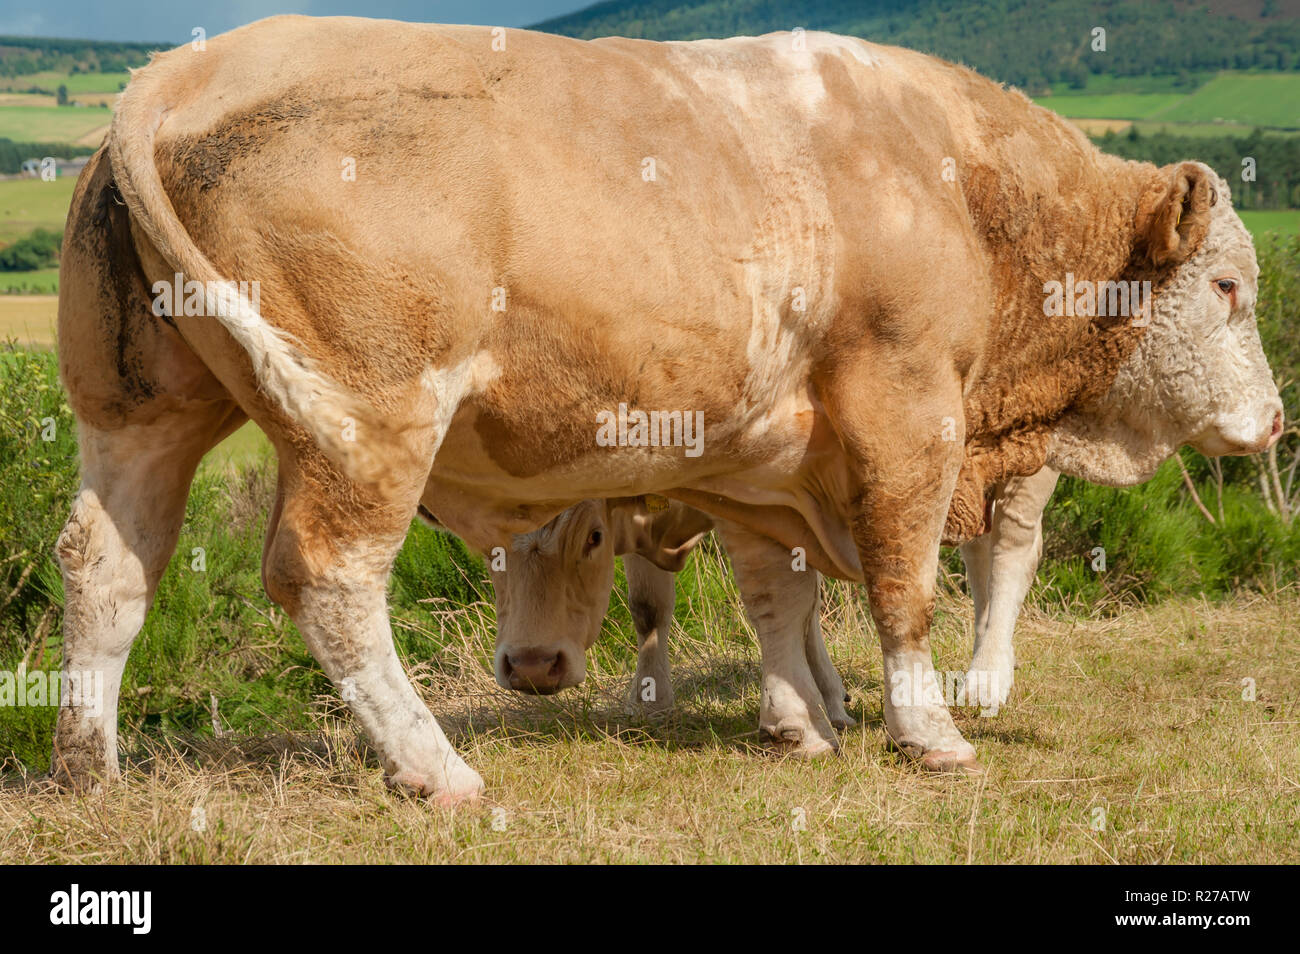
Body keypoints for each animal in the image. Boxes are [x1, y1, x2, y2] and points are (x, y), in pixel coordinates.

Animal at [53, 18, 1279, 805]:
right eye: (1227, 287)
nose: (1272, 421)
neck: (962, 188)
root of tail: (188, 66)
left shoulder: (764, 450)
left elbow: (779, 597)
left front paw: (800, 724)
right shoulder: (905, 408)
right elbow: (904, 584)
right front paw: (923, 732)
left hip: (139, 412)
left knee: (106, 565)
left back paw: (86, 766)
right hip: (371, 417)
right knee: (329, 579)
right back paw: (435, 769)